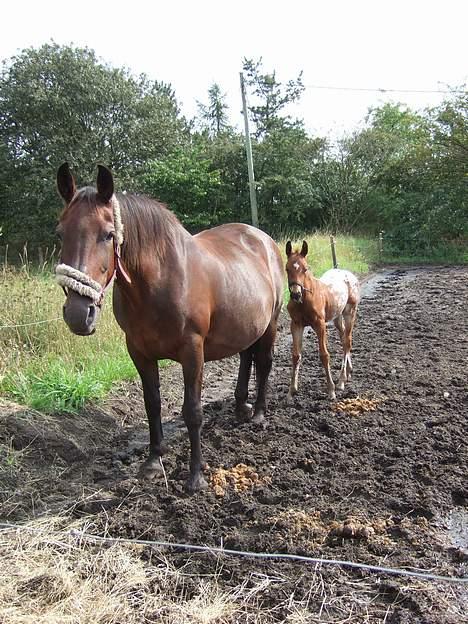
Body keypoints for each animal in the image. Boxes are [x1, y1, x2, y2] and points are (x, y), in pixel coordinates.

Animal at [54, 163, 282, 490]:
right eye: (60, 233)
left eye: (108, 235)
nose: (77, 313)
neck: (159, 281)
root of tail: (263, 239)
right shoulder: (138, 351)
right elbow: (153, 404)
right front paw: (152, 462)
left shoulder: (193, 350)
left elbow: (193, 411)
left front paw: (196, 475)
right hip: (246, 325)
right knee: (245, 357)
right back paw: (241, 407)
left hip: (271, 323)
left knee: (263, 362)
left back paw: (259, 414)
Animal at [284, 241, 360, 402]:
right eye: (287, 268)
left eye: (305, 268)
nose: (295, 294)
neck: (305, 300)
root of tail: (349, 274)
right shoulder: (296, 325)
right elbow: (296, 355)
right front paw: (291, 391)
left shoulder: (320, 325)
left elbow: (324, 355)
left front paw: (331, 390)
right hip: (337, 317)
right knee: (343, 338)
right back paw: (348, 372)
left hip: (350, 312)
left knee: (347, 341)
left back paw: (341, 381)